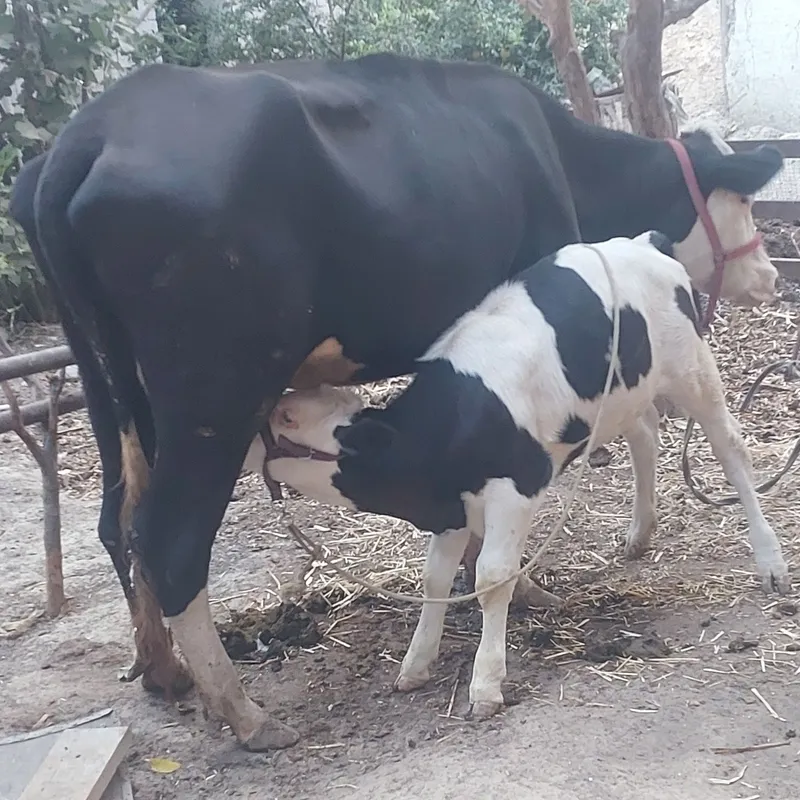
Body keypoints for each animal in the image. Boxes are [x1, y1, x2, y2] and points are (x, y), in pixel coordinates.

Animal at [249, 231, 791, 720]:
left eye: (288, 417)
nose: (248, 432)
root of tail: (643, 241)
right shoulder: (452, 508)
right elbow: (435, 578)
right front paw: (416, 663)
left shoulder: (515, 490)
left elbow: (491, 578)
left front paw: (486, 684)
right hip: (626, 392)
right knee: (645, 434)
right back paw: (640, 533)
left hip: (692, 370)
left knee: (731, 451)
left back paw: (770, 561)